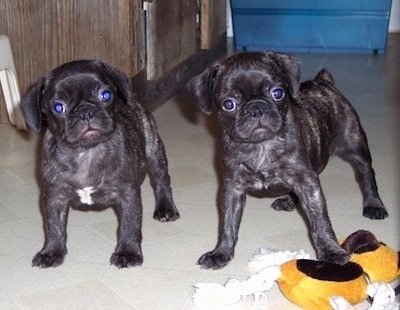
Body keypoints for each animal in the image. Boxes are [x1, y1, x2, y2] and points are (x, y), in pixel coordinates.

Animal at [20, 59, 180, 268]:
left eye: (106, 95)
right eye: (58, 107)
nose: (86, 112)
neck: (87, 152)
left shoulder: (127, 194)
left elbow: (129, 224)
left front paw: (127, 252)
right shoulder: (55, 196)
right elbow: (53, 226)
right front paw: (51, 252)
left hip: (154, 151)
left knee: (162, 180)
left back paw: (166, 208)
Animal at [188, 50, 388, 268]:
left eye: (278, 93)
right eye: (228, 104)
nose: (256, 108)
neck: (262, 145)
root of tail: (323, 82)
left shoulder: (307, 183)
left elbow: (320, 220)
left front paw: (331, 251)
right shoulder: (233, 188)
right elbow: (227, 223)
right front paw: (221, 252)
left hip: (354, 146)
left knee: (367, 173)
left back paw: (374, 205)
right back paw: (288, 200)